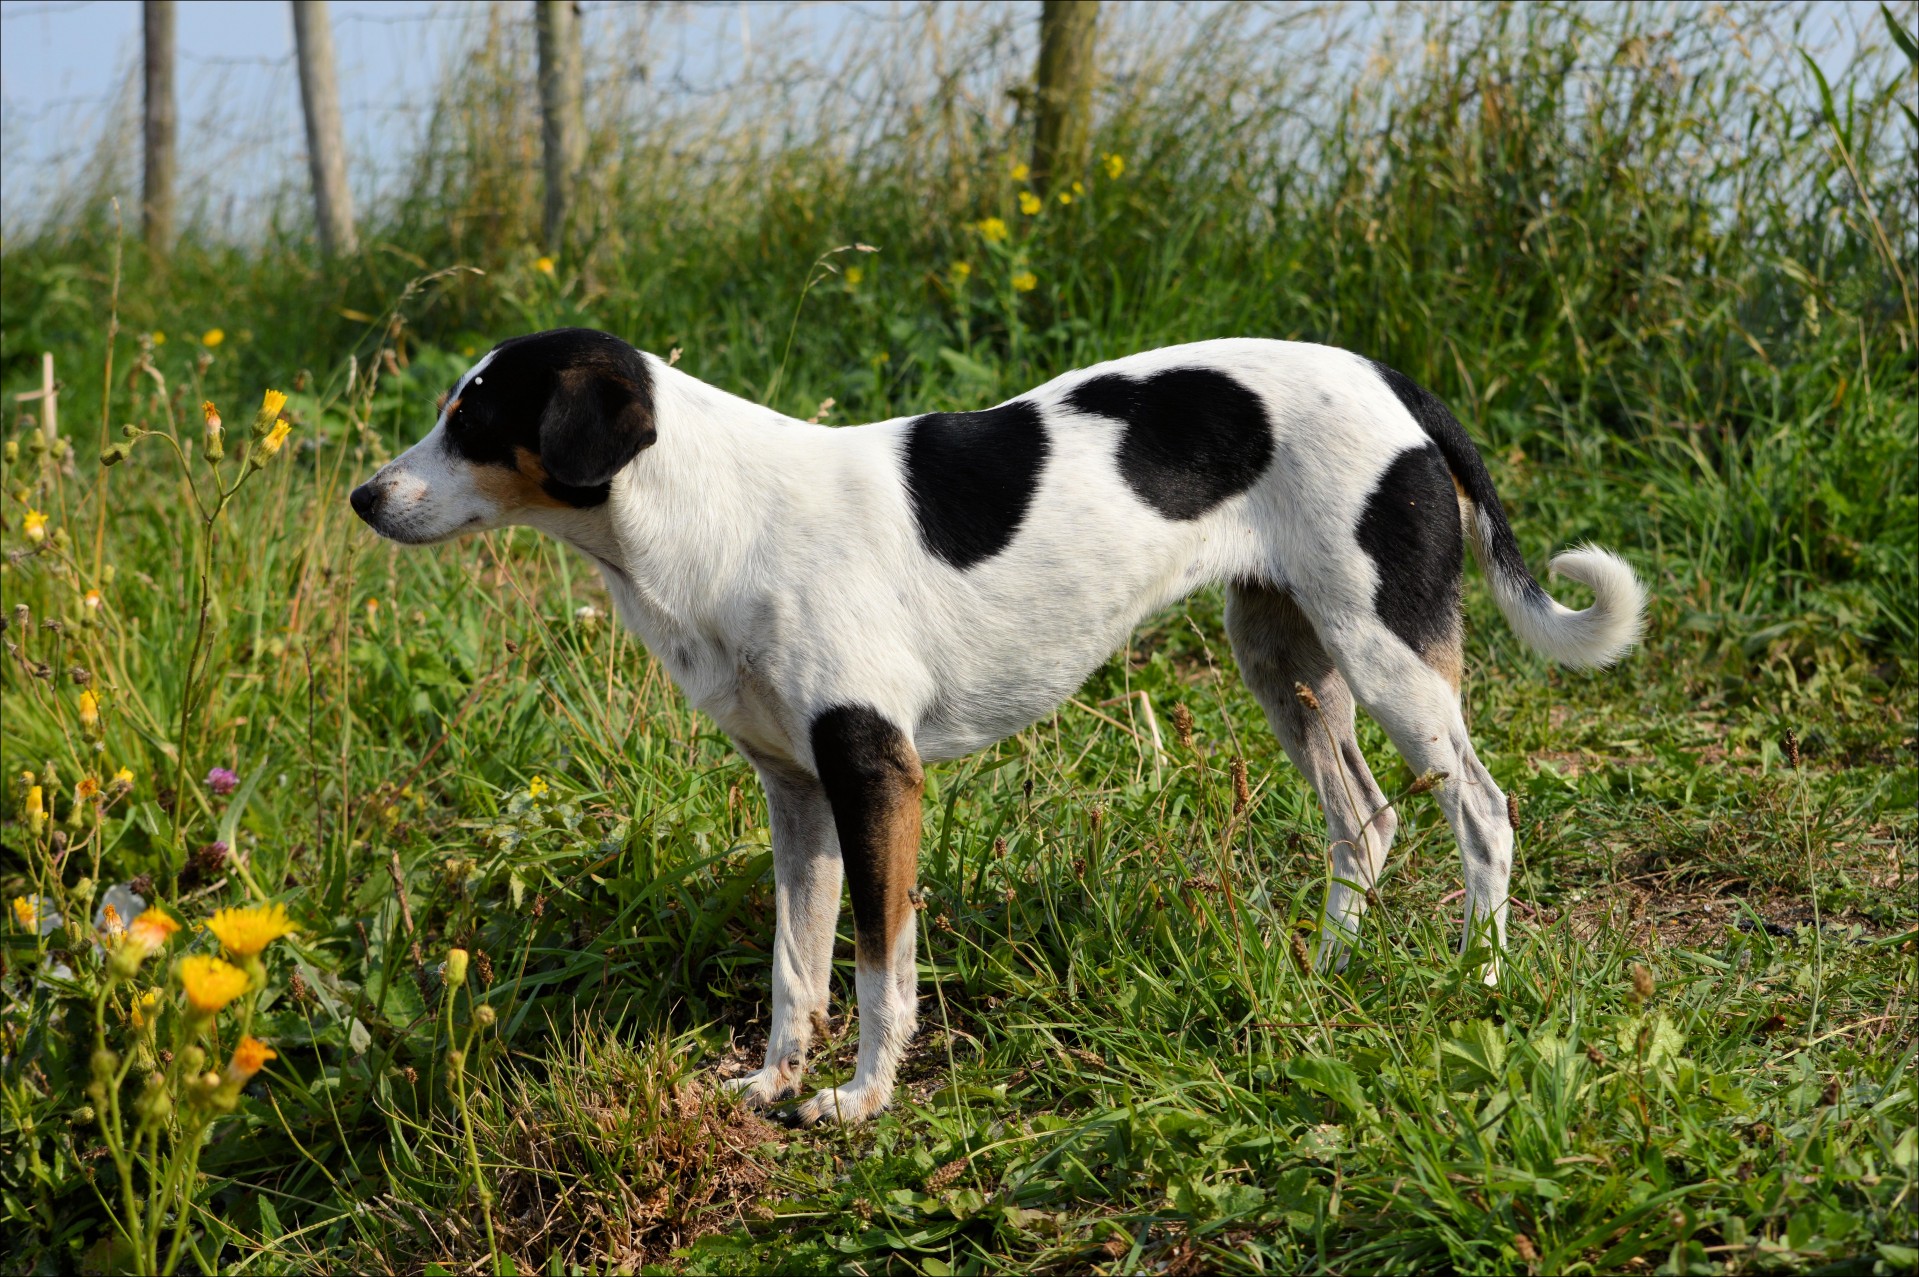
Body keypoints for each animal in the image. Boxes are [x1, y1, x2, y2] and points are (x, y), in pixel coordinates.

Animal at [353, 330, 1642, 1129]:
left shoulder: (876, 772)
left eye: (474, 421)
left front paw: (862, 1099)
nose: (364, 496)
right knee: (1363, 820)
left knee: (1482, 810)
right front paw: (773, 1083)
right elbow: (793, 969)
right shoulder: (795, 793)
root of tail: (1386, 378)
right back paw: (1325, 974)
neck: (709, 516)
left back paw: (1475, 972)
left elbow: (877, 967)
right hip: (1285, 658)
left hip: (1389, 660)